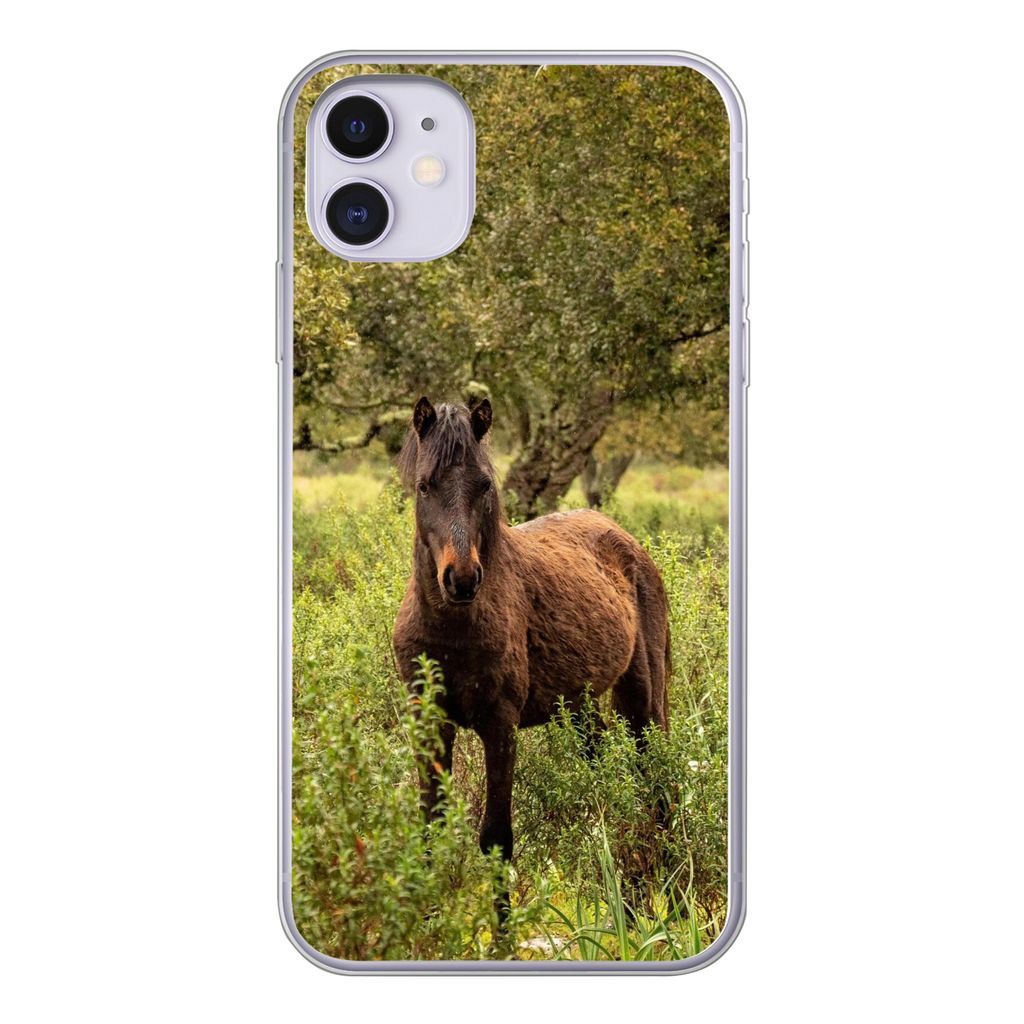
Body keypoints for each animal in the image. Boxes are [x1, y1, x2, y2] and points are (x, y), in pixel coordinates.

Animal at [392, 396, 670, 907]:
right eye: (423, 486)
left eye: (484, 484)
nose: (462, 579)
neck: (453, 627)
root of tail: (628, 542)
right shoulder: (430, 721)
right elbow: (429, 828)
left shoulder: (500, 726)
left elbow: (497, 839)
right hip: (581, 711)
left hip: (642, 700)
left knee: (656, 783)